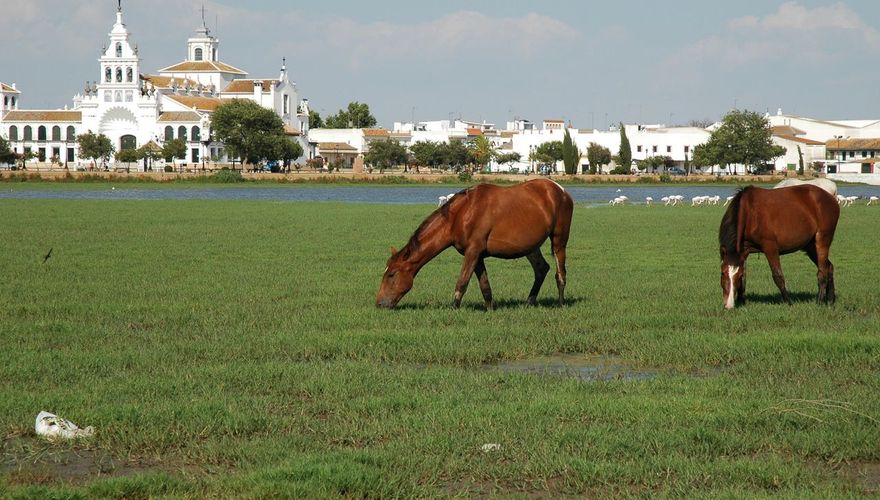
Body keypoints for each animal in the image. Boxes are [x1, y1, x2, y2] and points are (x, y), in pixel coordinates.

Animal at [374, 180, 576, 308]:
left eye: (391, 275)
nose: (379, 303)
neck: (461, 214)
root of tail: (561, 190)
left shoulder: (473, 252)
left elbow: (462, 283)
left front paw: (453, 309)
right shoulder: (477, 256)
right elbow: (485, 286)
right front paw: (490, 310)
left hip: (559, 241)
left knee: (560, 274)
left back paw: (560, 303)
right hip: (531, 247)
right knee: (541, 269)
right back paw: (529, 301)